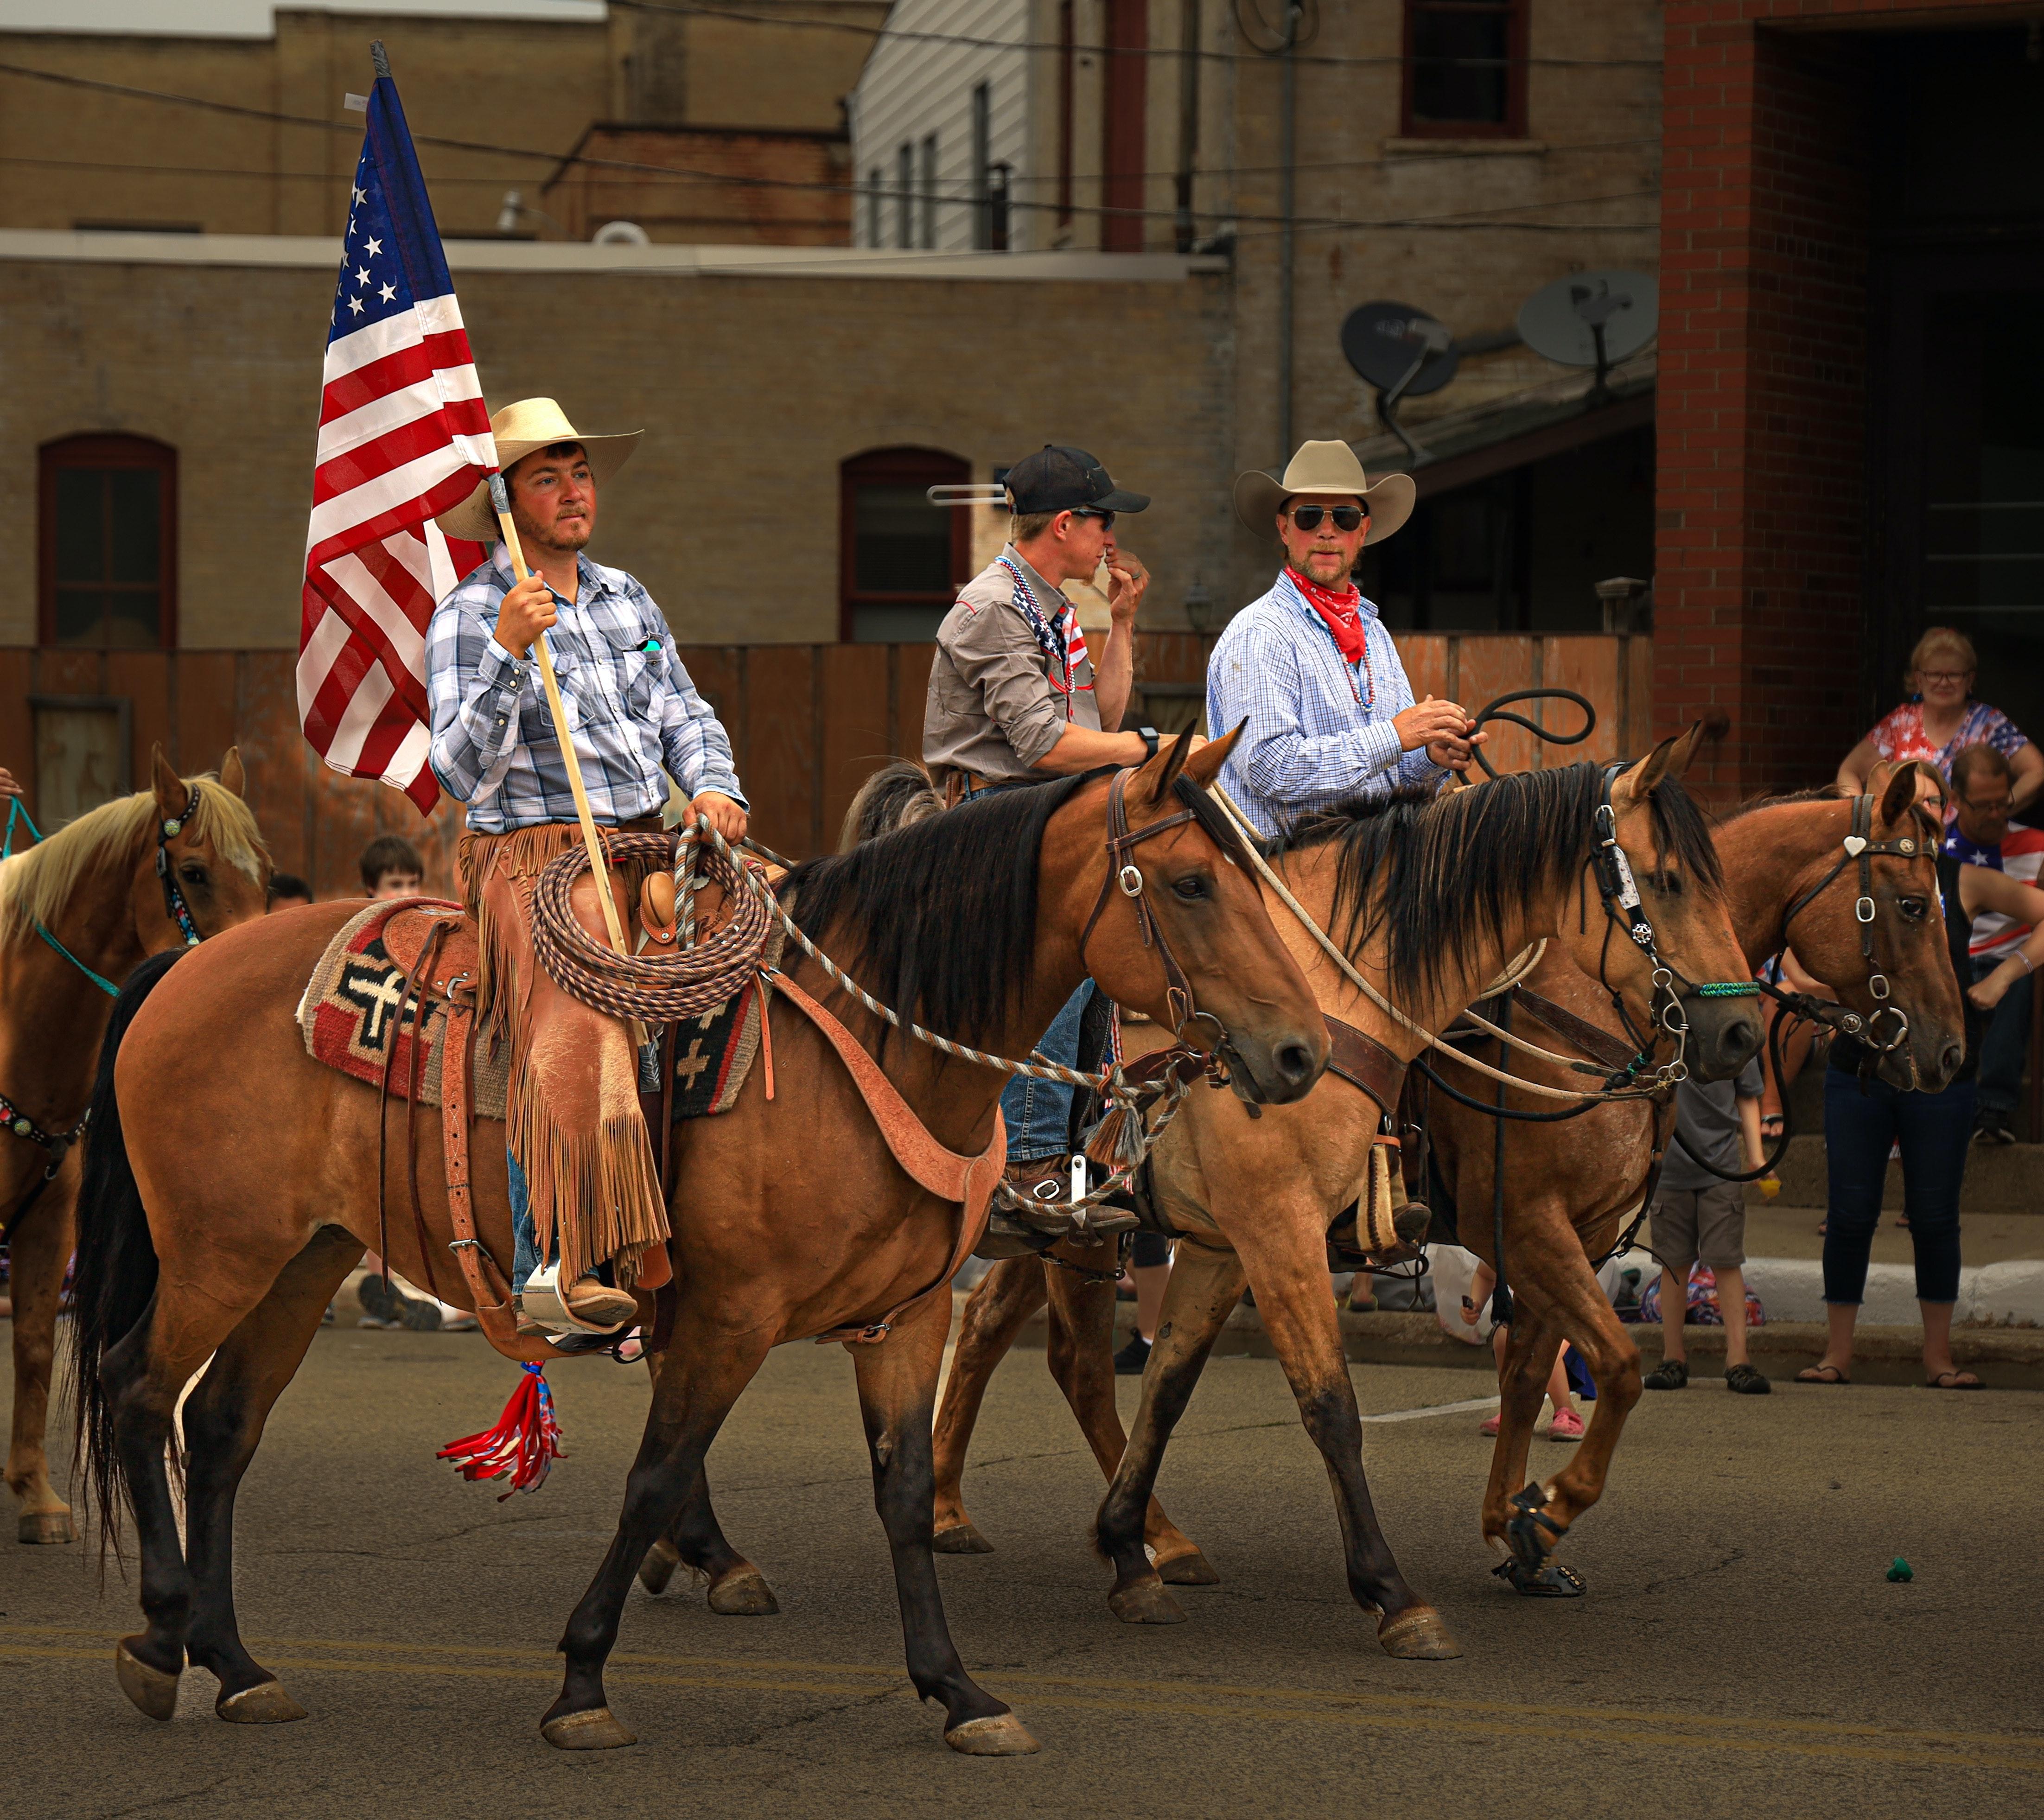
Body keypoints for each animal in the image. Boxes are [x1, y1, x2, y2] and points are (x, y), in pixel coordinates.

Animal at [68, 732, 1324, 1750]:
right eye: (1192, 882)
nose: (1301, 1052)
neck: (866, 1039)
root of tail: (183, 964)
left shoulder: (903, 1314)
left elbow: (904, 1491)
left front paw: (956, 1688)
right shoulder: (729, 1315)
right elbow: (654, 1475)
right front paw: (582, 1677)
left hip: (305, 1253)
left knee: (221, 1427)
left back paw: (235, 1664)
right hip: (219, 1252)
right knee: (139, 1386)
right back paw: (161, 1636)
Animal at [1422, 752, 1962, 1587]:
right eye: (1911, 905)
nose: (1950, 1052)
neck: (1598, 997)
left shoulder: (1575, 1231)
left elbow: (1528, 1376)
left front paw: (1519, 1534)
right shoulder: (1525, 1219)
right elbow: (1617, 1366)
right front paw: (1549, 1512)